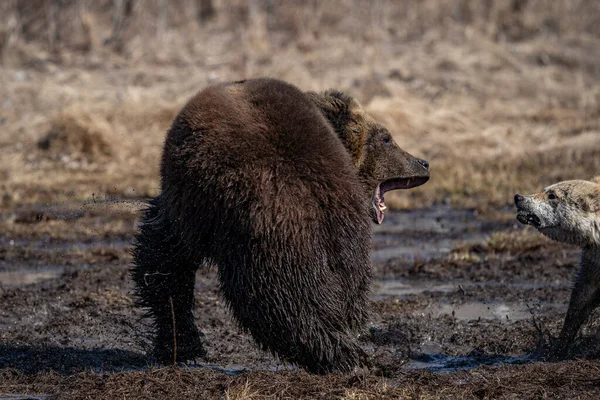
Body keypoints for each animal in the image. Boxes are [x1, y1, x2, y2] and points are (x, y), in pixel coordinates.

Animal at [132, 79, 432, 376]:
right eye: (387, 138)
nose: (424, 162)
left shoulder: (191, 205)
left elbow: (163, 254)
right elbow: (164, 260)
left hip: (267, 231)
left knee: (279, 298)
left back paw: (339, 355)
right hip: (339, 232)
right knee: (342, 291)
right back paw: (349, 351)